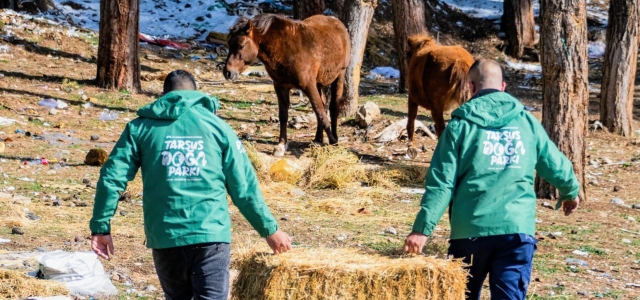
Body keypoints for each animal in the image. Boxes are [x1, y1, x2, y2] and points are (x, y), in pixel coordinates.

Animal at [221, 13, 350, 157]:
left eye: (241, 45)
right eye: (229, 43)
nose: (228, 72)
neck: (286, 50)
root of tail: (337, 22)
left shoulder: (309, 86)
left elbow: (321, 115)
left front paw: (334, 143)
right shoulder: (281, 86)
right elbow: (283, 116)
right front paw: (281, 146)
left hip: (339, 76)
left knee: (333, 108)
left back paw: (334, 137)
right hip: (319, 83)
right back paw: (318, 139)